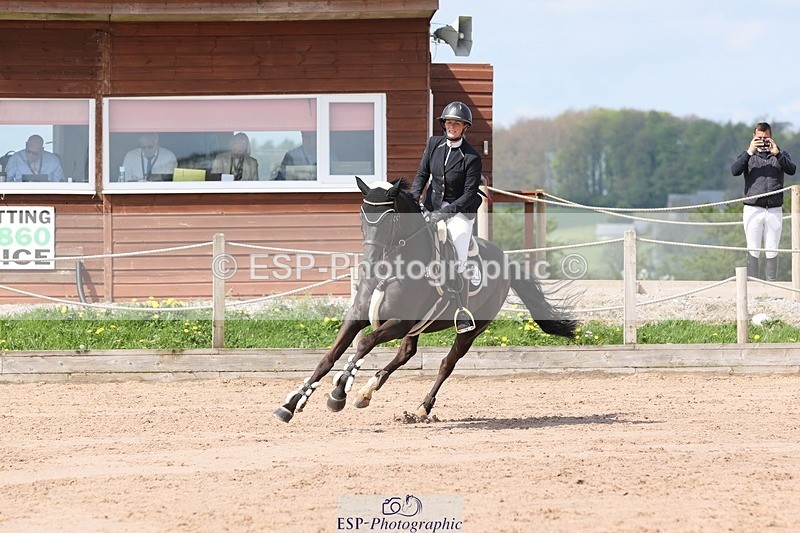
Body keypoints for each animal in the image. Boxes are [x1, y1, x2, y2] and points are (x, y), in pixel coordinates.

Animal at [273, 177, 578, 423]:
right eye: (361, 217)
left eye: (389, 219)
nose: (369, 262)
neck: (391, 267)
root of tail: (506, 261)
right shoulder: (360, 317)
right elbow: (328, 357)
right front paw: (292, 403)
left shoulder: (398, 322)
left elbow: (364, 343)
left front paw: (338, 393)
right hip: (417, 327)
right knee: (406, 353)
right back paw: (367, 392)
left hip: (471, 329)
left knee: (446, 364)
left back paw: (422, 407)